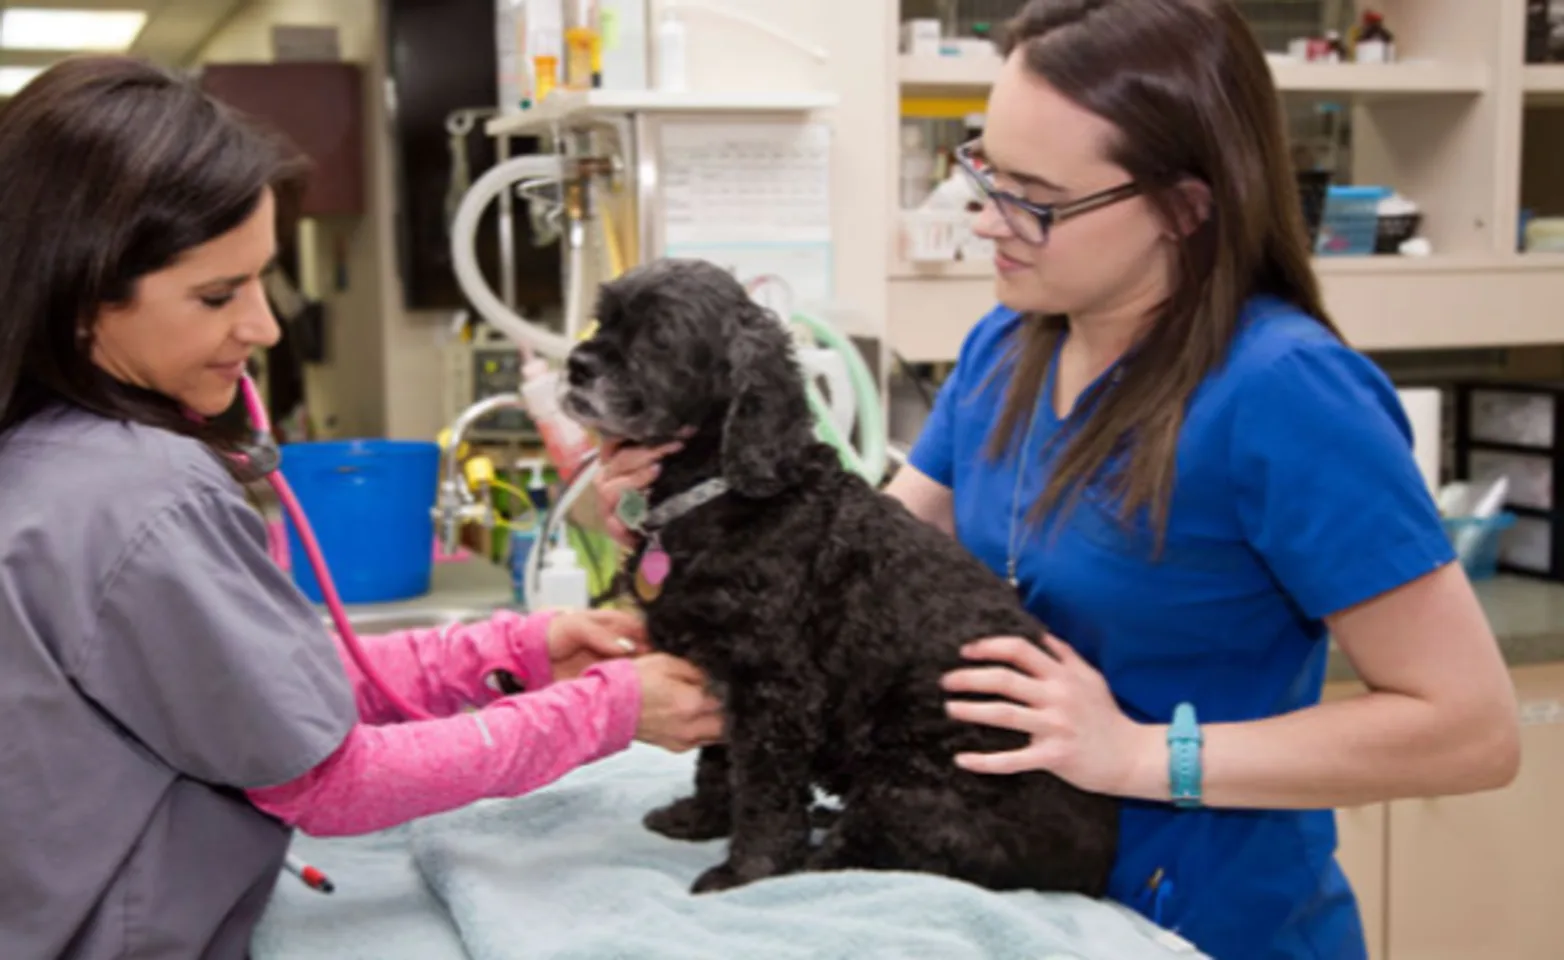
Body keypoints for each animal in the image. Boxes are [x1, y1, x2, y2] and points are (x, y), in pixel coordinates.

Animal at [569, 259, 1119, 900]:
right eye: (604, 318)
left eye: (660, 334)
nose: (576, 365)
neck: (722, 491)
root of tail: (1097, 866)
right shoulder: (720, 673)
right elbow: (718, 760)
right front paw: (701, 818)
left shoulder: (773, 688)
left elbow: (762, 790)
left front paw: (746, 871)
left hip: (915, 781)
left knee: (862, 856)